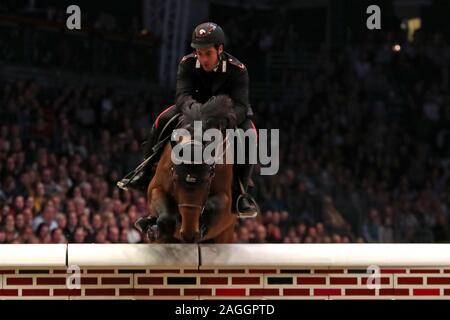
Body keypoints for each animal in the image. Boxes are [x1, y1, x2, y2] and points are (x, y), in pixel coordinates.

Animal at [147, 95, 239, 242]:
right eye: (175, 178)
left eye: (208, 179)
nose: (189, 235)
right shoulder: (156, 187)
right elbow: (166, 217)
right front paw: (156, 231)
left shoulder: (226, 199)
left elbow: (212, 207)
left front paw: (202, 228)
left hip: (225, 233)